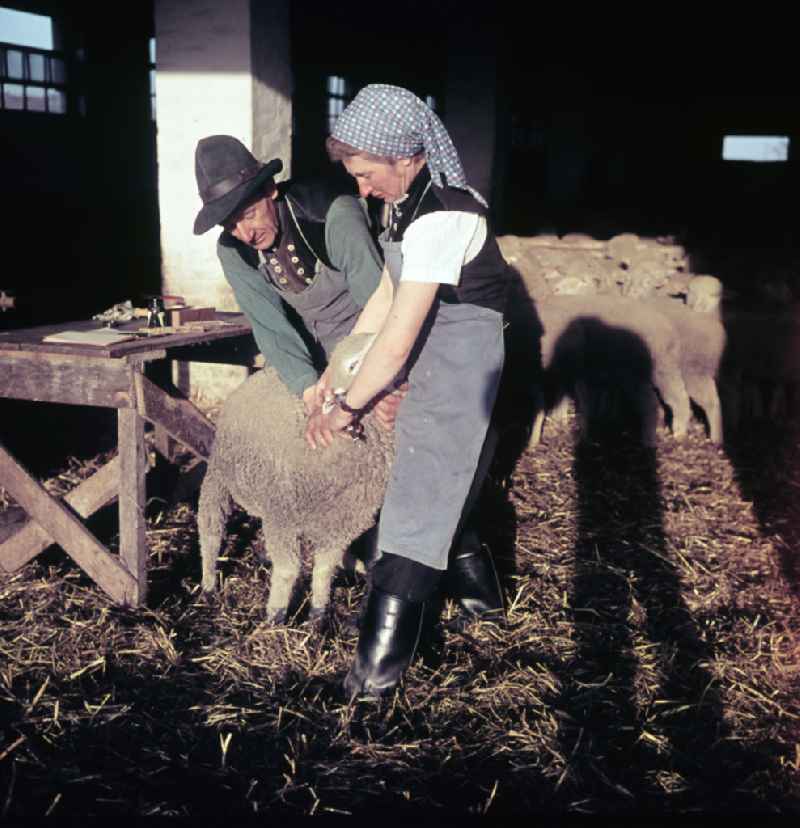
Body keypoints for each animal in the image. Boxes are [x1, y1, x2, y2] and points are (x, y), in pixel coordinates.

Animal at [197, 334, 390, 624]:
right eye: (353, 365)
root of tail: (265, 372)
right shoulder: (282, 518)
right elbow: (288, 571)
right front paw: (275, 617)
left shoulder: (340, 525)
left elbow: (324, 569)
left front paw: (318, 615)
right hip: (218, 476)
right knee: (210, 531)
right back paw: (208, 584)